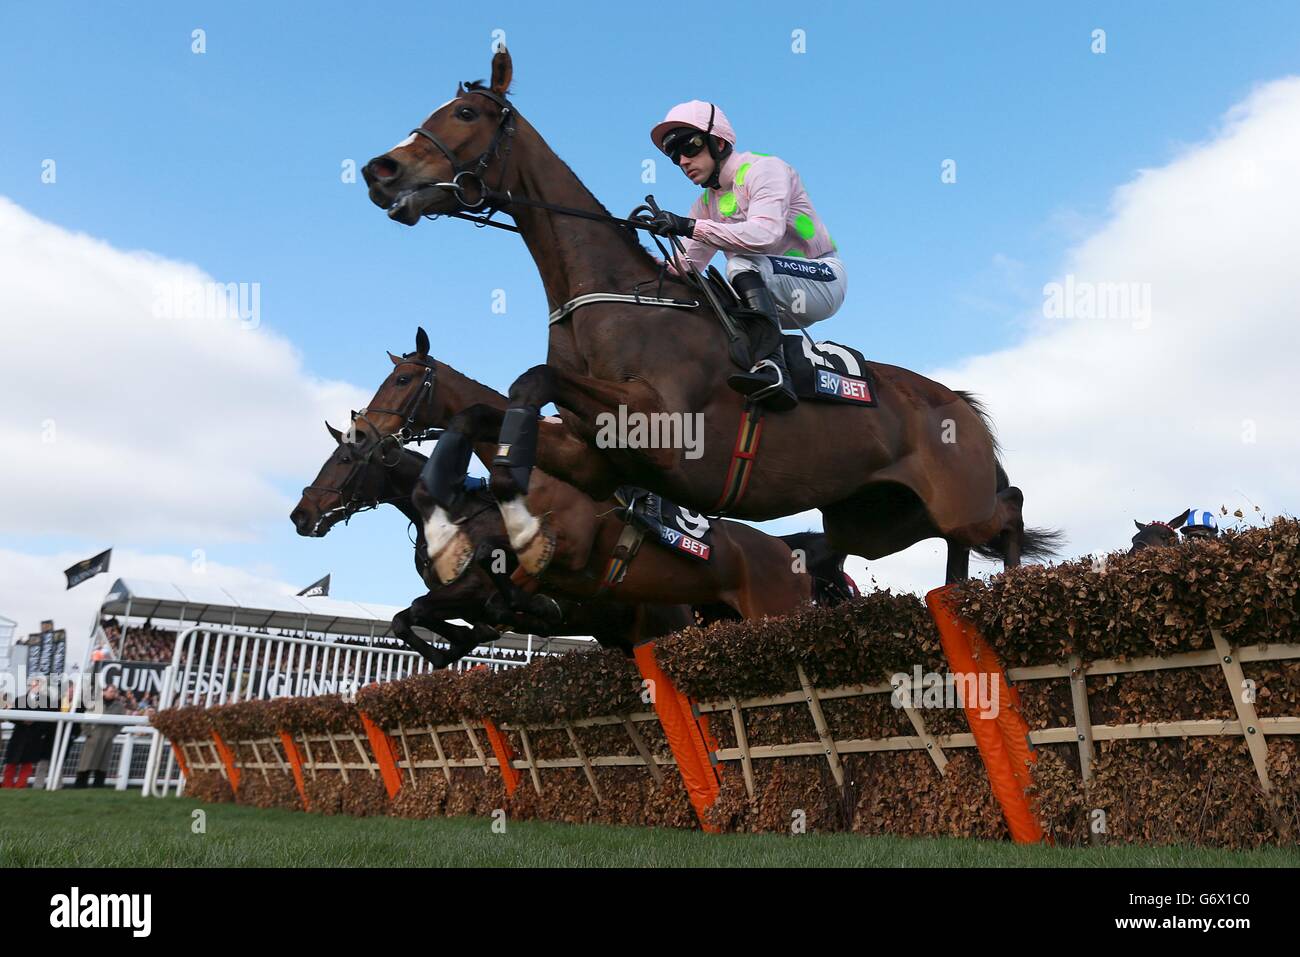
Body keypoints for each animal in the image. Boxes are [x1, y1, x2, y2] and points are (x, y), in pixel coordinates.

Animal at [361, 48, 1060, 587]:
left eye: (466, 113)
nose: (379, 169)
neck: (615, 299)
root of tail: (961, 404)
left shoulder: (669, 432)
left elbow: (530, 381)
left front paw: (527, 533)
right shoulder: (595, 455)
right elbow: (484, 412)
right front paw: (448, 533)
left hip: (958, 499)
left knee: (1011, 507)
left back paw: (1011, 587)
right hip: (876, 519)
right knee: (955, 537)